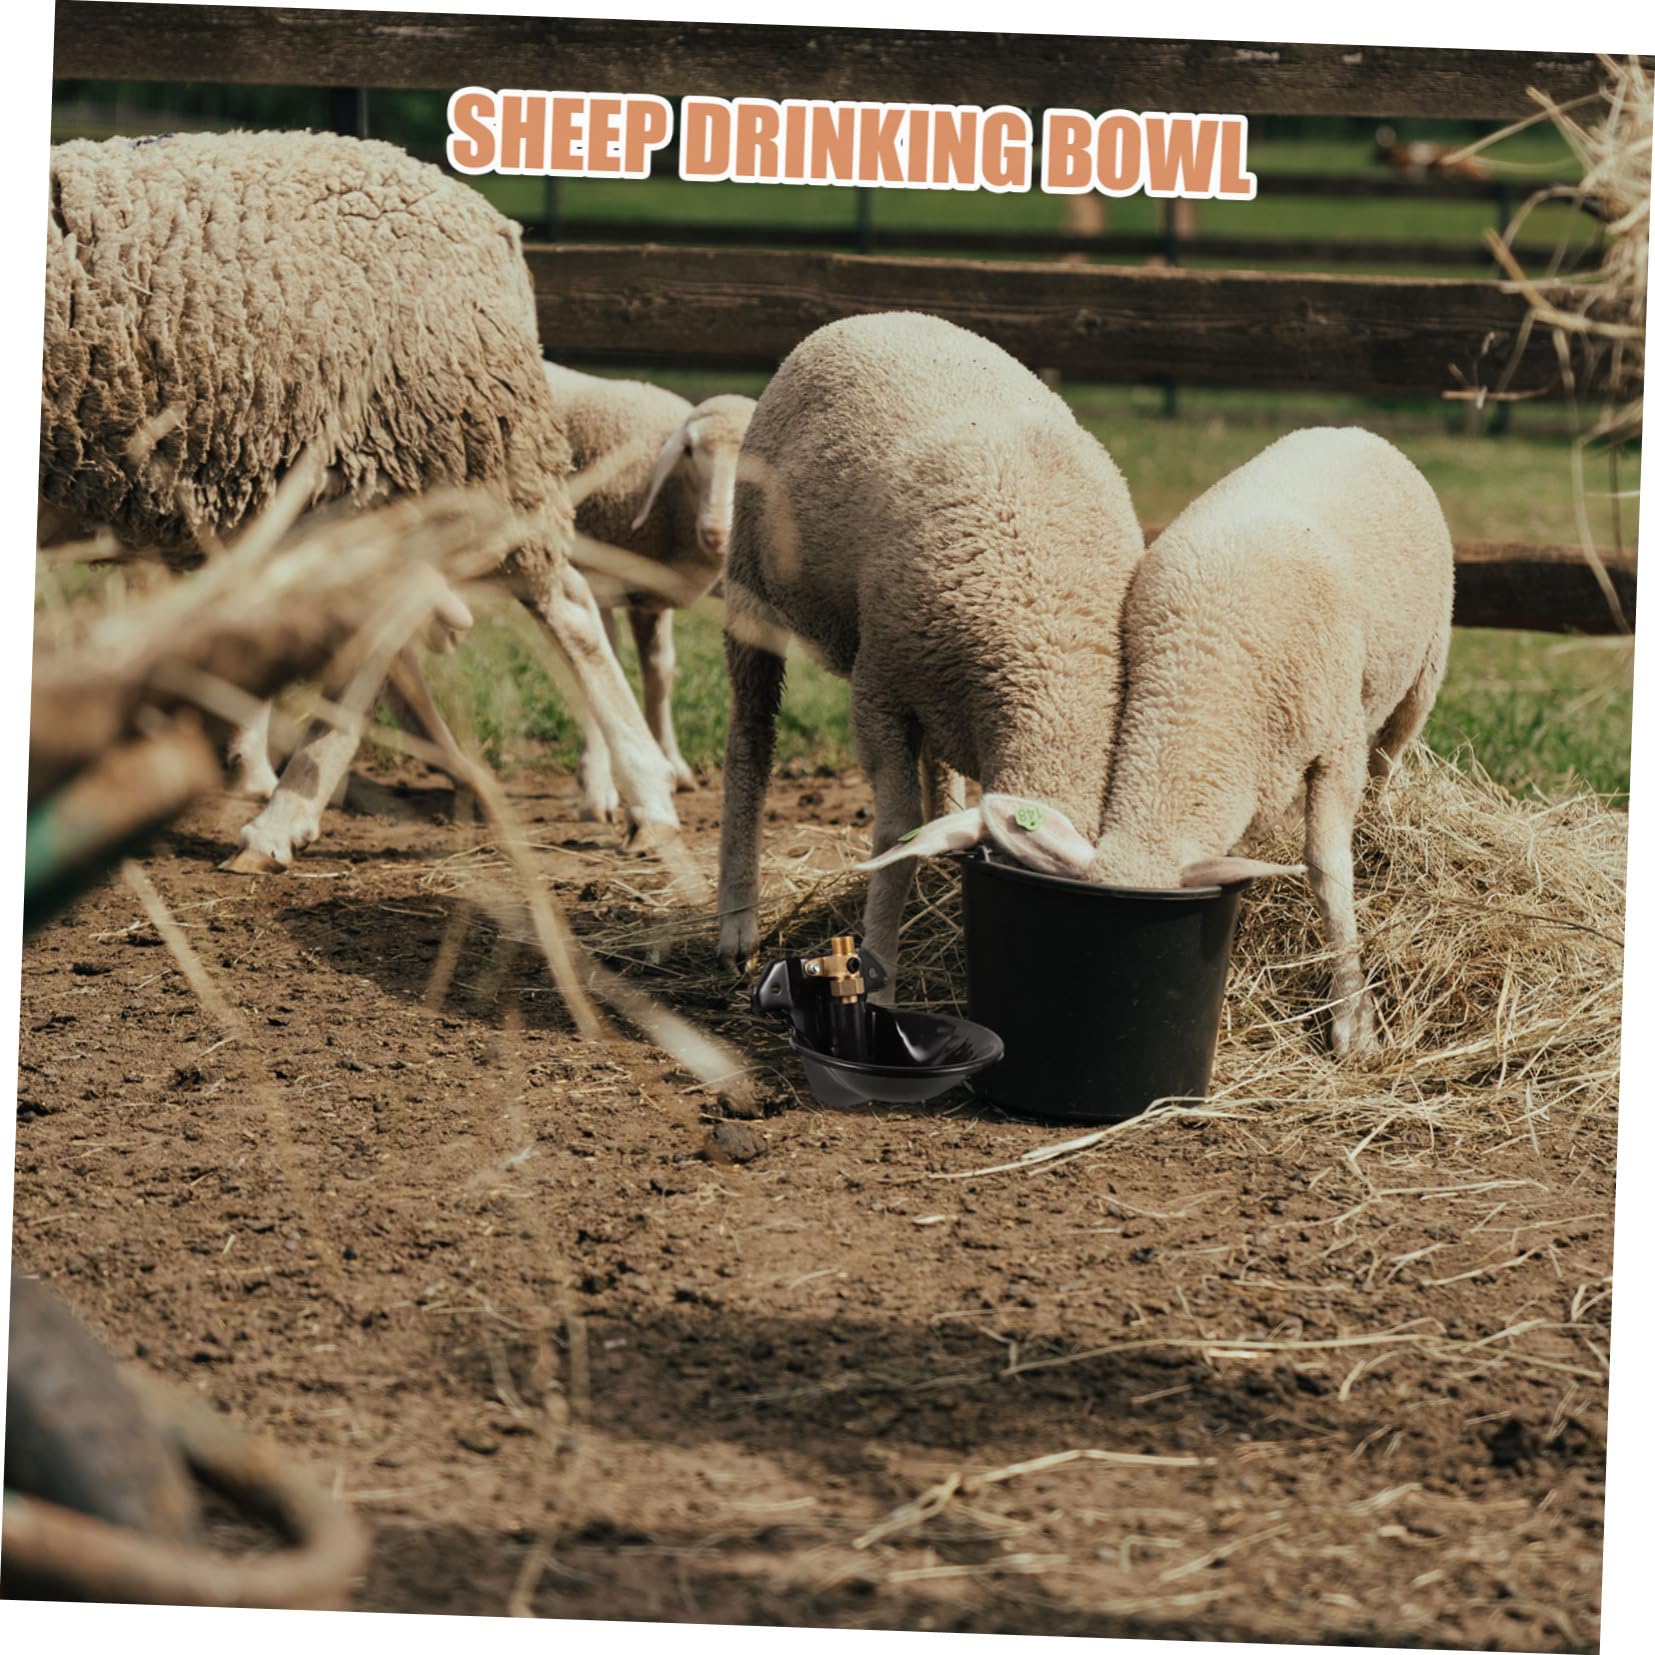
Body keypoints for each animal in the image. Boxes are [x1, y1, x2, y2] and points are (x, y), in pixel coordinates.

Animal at [41, 129, 680, 869]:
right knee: (374, 628)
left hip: (462, 449)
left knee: (568, 609)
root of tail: (495, 225)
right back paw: (293, 809)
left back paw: (646, 799)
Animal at [541, 363, 755, 818]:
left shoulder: (650, 593)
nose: (717, 534)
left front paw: (673, 764)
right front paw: (598, 787)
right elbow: (601, 668)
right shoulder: (595, 580)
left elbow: (659, 673)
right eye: (689, 452)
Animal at [715, 310, 1146, 985]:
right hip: (752, 585)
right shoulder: (879, 693)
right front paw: (878, 969)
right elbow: (894, 832)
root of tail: (880, 314)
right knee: (750, 738)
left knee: (938, 759)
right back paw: (737, 922)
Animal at [863, 426, 1456, 1060]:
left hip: (1423, 669)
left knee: (1389, 760)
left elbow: (1327, 869)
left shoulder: (1336, 746)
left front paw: (1351, 1017)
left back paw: (1384, 828)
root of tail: (1348, 430)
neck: (1204, 663)